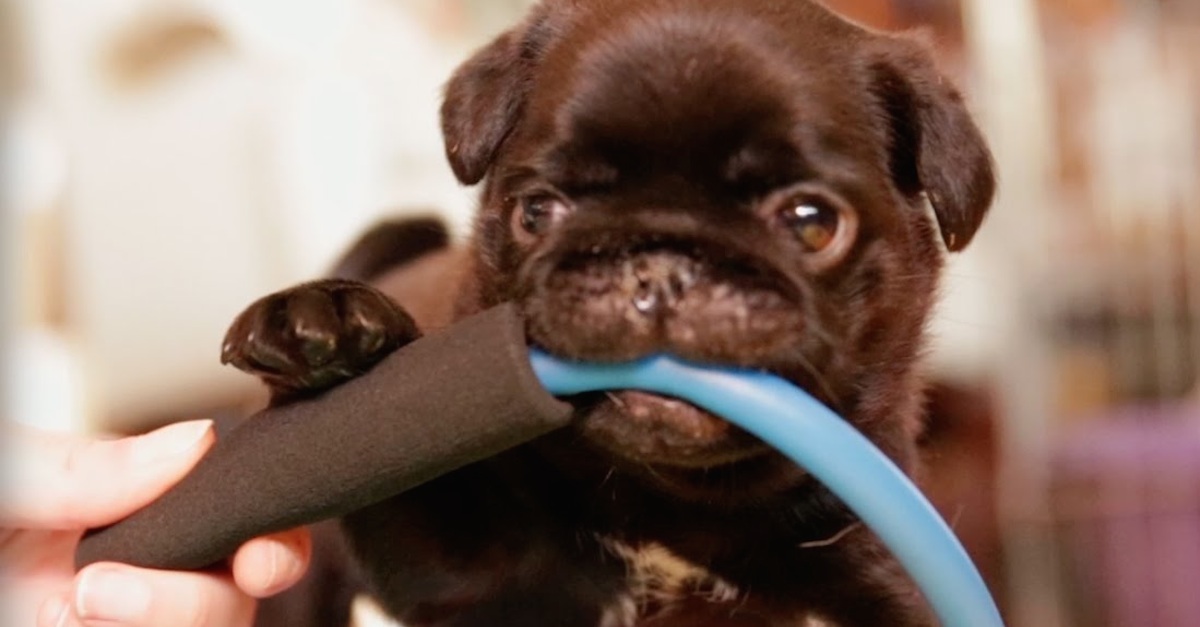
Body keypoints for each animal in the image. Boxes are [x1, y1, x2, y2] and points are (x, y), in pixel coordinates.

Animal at [225, 1, 993, 624]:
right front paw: (325, 325)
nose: (660, 270)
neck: (675, 508)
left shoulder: (880, 572)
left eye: (812, 223)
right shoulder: (468, 572)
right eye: (537, 211)